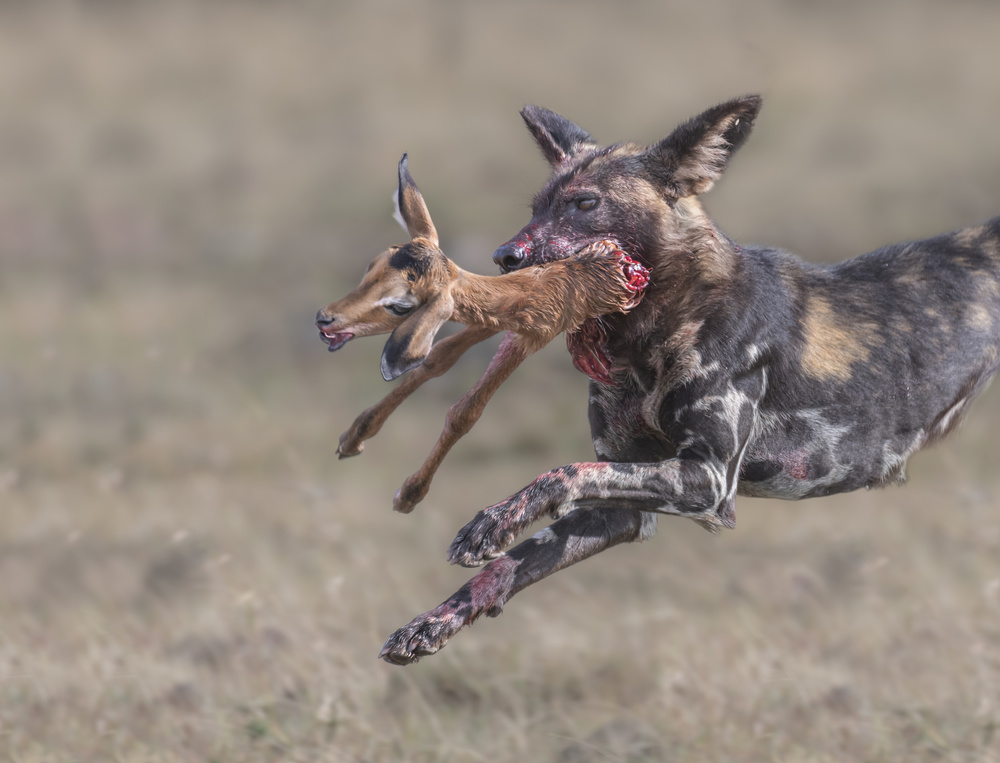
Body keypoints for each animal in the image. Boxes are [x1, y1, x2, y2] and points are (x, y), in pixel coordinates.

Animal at [318, 152, 648, 512]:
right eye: (373, 266)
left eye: (400, 306)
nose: (325, 319)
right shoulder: (505, 322)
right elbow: (437, 358)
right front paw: (352, 439)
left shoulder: (533, 334)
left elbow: (465, 411)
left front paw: (408, 495)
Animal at [376, 95, 1000, 664]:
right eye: (536, 206)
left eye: (585, 203)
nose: (506, 257)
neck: (650, 334)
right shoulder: (618, 509)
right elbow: (508, 564)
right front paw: (433, 622)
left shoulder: (708, 478)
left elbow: (558, 473)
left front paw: (490, 523)